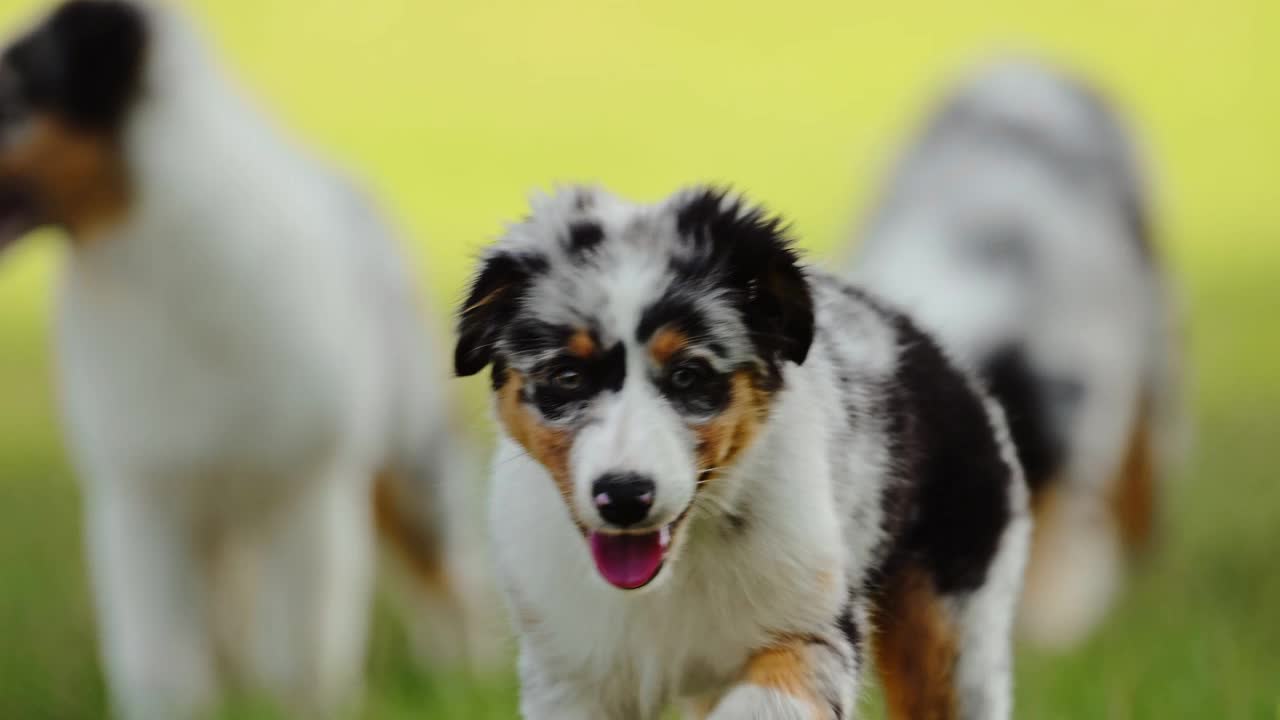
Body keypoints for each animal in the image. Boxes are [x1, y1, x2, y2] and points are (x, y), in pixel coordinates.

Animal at [453, 185, 1029, 717]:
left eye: (689, 374)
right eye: (567, 377)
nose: (624, 497)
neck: (676, 571)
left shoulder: (813, 627)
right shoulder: (569, 673)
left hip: (956, 625)